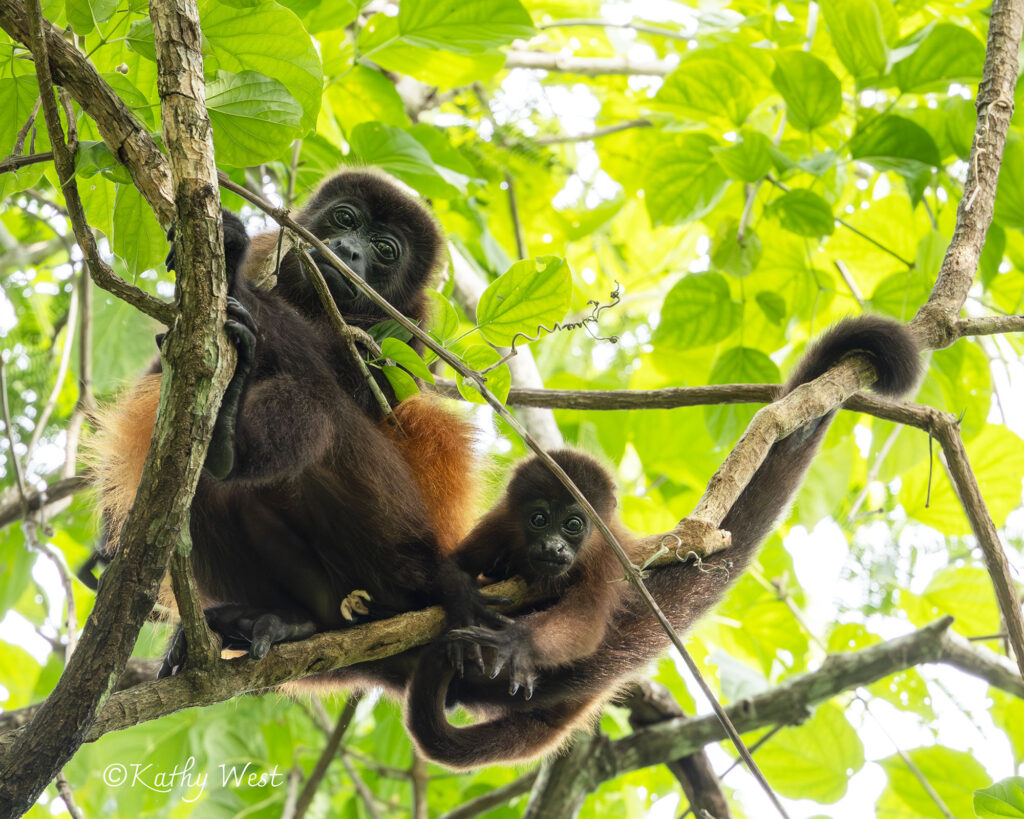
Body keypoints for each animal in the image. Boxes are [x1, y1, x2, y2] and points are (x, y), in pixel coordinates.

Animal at [88, 169, 497, 672]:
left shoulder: (410, 329)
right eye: (345, 218)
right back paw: (287, 620)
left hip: (401, 539)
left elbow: (348, 383)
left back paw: (227, 445)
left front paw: (232, 267)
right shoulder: (274, 254)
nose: (348, 249)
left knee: (318, 402)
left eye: (385, 250)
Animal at [397, 315, 921, 769]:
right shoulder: (501, 524)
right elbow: (455, 566)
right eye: (539, 519)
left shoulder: (606, 559)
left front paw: (517, 643)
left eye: (574, 525)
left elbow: (586, 623)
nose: (553, 549)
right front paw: (466, 611)